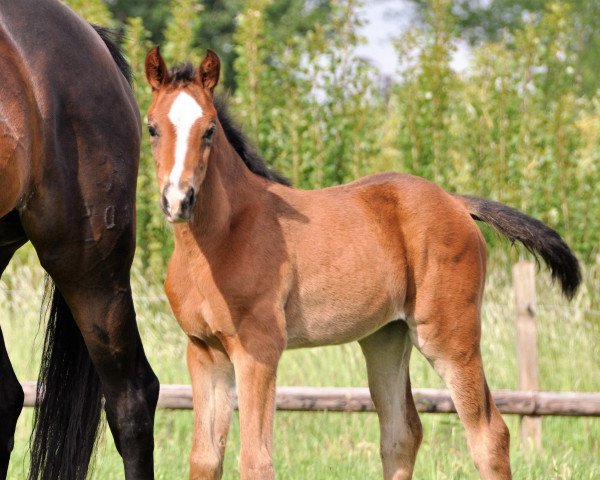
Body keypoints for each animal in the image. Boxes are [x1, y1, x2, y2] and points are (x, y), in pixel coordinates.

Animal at [143, 46, 580, 480]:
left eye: (209, 129)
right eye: (152, 128)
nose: (178, 200)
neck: (221, 239)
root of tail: (456, 202)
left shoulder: (258, 349)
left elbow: (255, 460)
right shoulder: (204, 350)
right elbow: (205, 458)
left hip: (449, 337)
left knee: (489, 435)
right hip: (386, 336)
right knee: (402, 433)